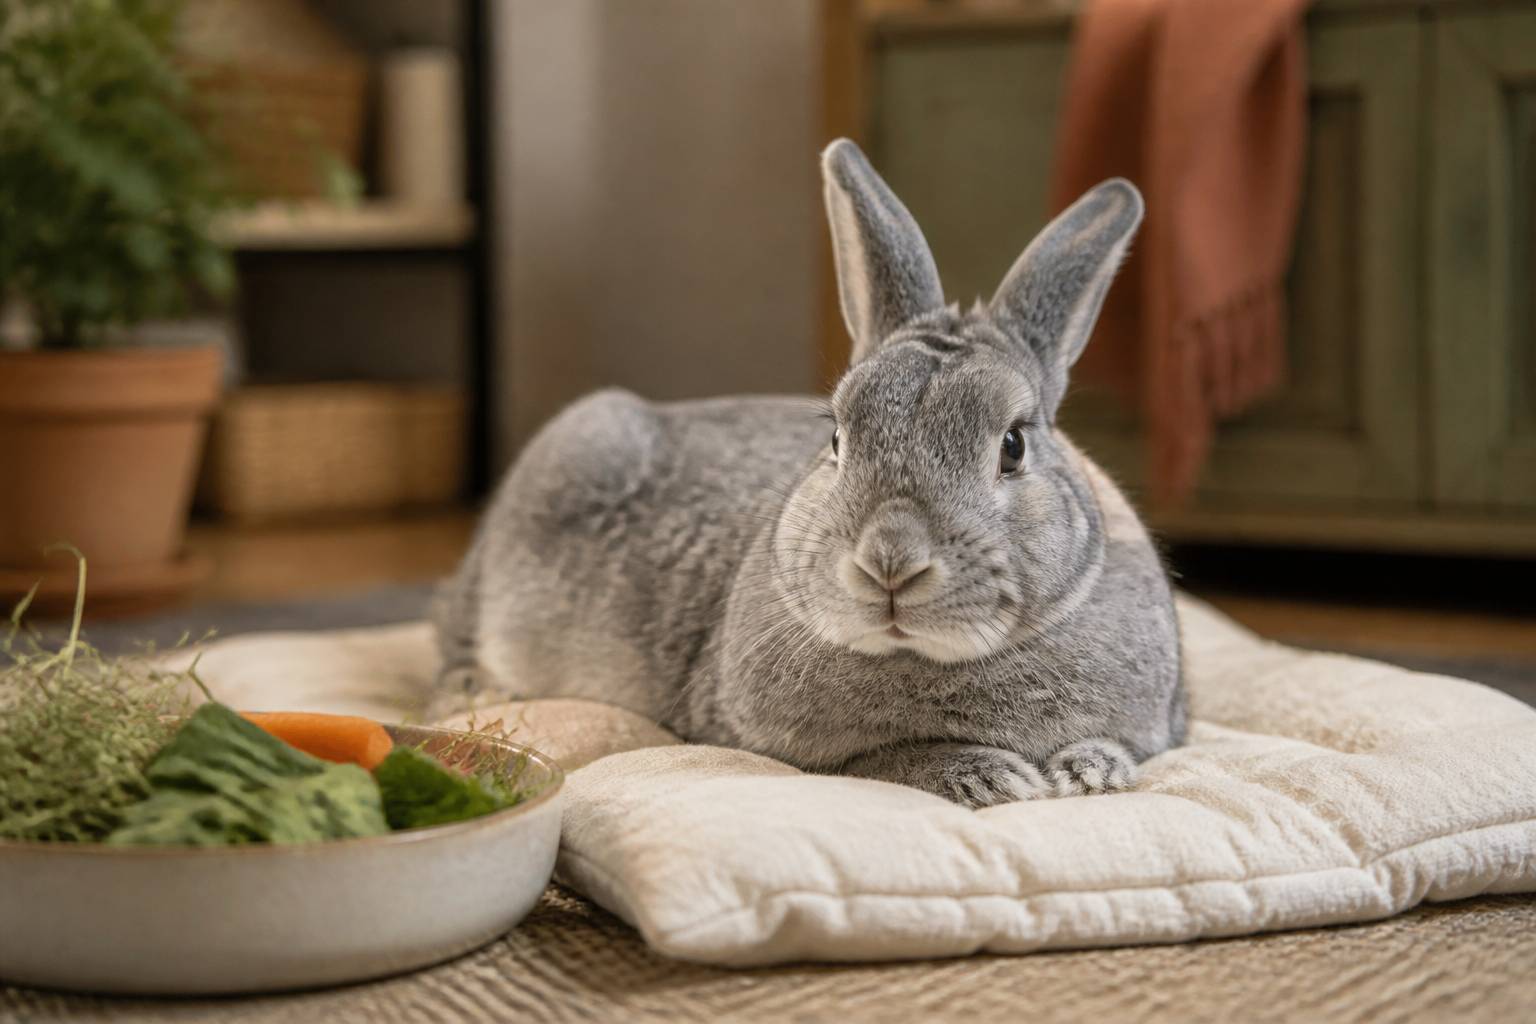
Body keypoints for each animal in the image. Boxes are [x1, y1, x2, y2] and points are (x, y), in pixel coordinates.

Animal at [430, 139, 1185, 807]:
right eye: (836, 438)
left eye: (1013, 445)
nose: (889, 563)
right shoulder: (799, 752)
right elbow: (893, 760)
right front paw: (997, 780)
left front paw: (1090, 775)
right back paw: (477, 690)